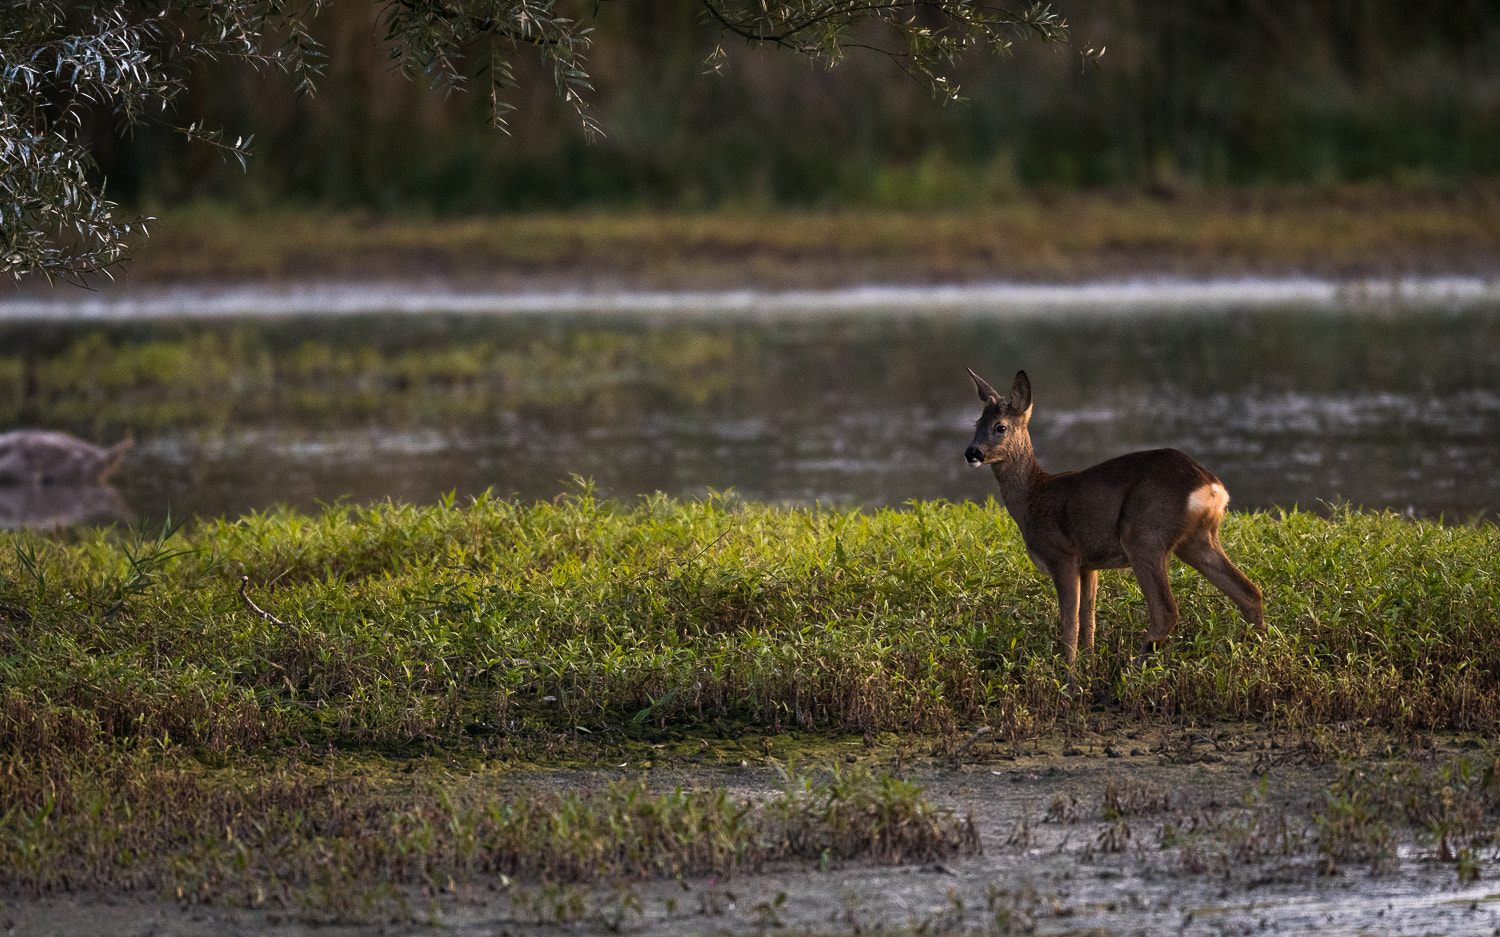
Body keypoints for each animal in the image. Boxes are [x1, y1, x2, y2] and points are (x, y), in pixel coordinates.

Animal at [960, 367, 1266, 665]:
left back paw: (1133, 670)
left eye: (1000, 427)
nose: (971, 452)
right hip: (1198, 539)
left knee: (1166, 611)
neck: (1034, 498)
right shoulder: (1089, 565)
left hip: (1144, 535)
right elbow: (1089, 621)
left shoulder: (1062, 555)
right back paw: (1256, 651)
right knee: (1249, 592)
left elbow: (1069, 623)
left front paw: (1069, 676)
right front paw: (1089, 670)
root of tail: (1212, 487)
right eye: (976, 424)